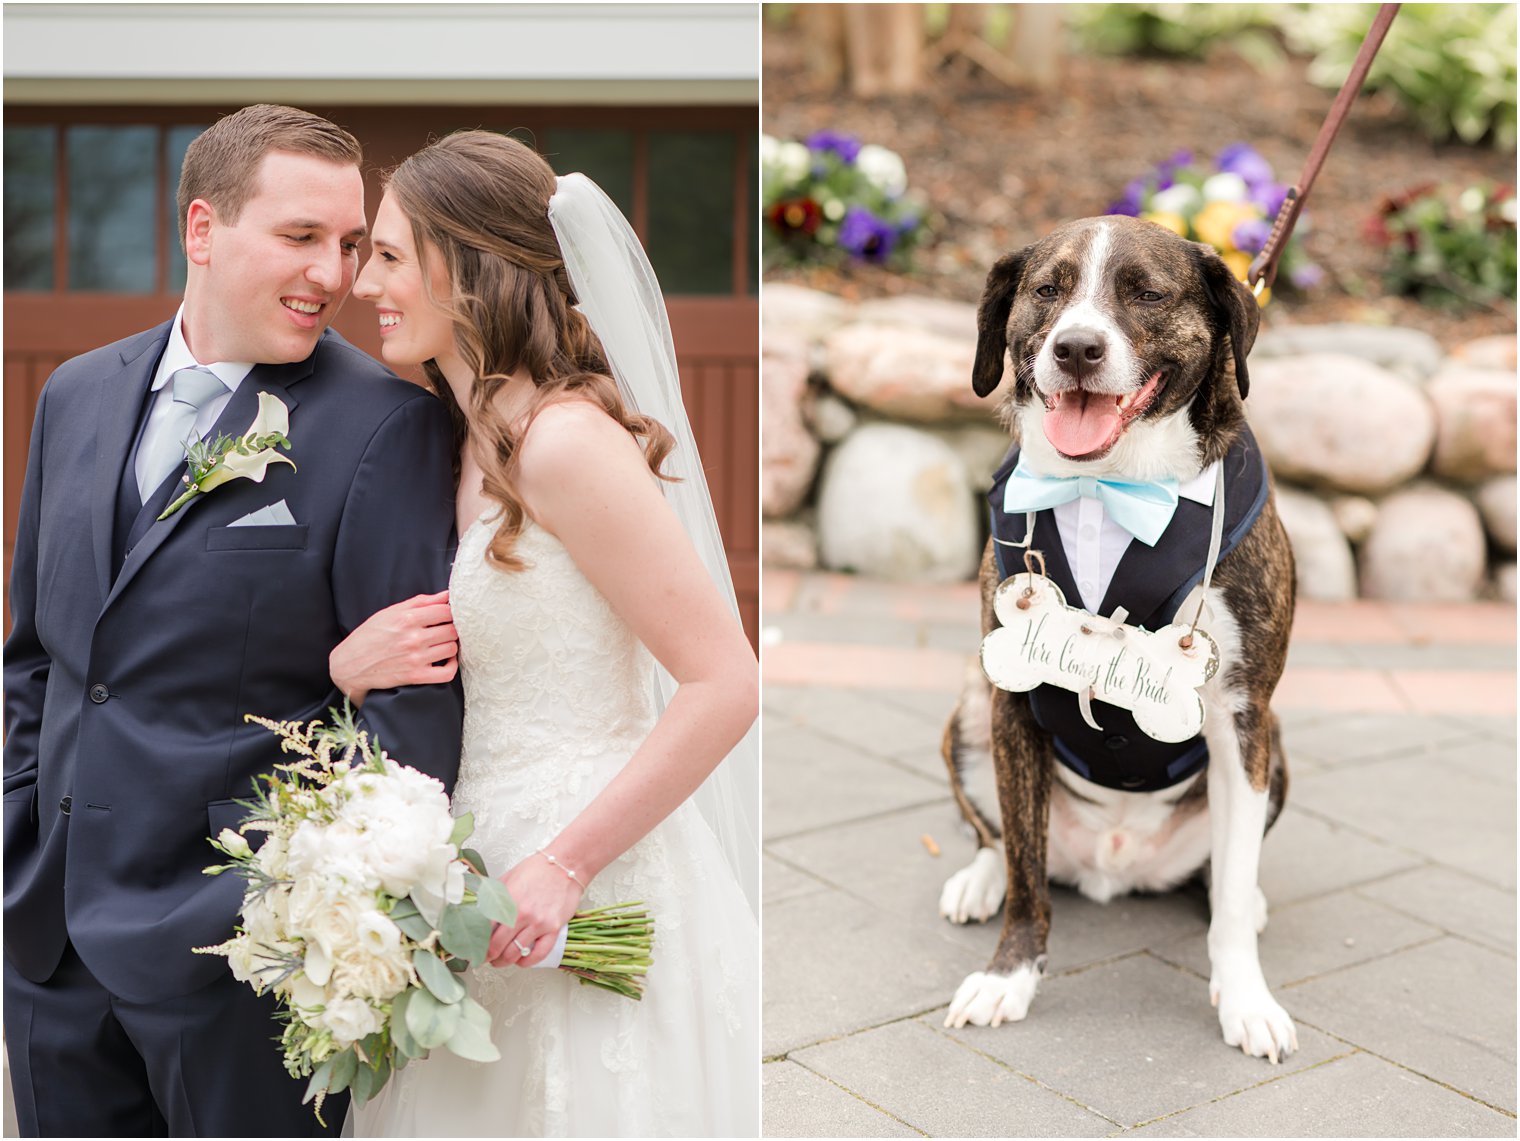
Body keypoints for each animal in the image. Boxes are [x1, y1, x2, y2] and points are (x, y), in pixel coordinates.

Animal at [936, 214, 1295, 1063]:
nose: (1076, 348)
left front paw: (1247, 999)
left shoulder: (1243, 717)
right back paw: (979, 878)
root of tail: (1114, 864)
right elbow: (1027, 875)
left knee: (1225, 871)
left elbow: (1232, 889)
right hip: (967, 718)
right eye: (1047, 289)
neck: (1108, 485)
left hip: (1279, 754)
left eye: (1147, 293)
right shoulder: (1009, 703)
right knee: (1003, 840)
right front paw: (1007, 976)